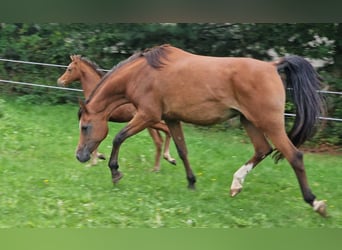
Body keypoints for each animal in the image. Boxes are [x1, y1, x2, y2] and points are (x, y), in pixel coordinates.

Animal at [77, 44, 326, 216]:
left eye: (85, 126)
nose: (80, 156)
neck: (142, 73)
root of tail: (272, 66)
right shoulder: (172, 119)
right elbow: (182, 151)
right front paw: (191, 183)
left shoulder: (148, 116)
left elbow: (118, 137)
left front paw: (115, 172)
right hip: (249, 121)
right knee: (263, 149)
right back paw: (236, 185)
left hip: (269, 123)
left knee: (294, 156)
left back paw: (316, 203)